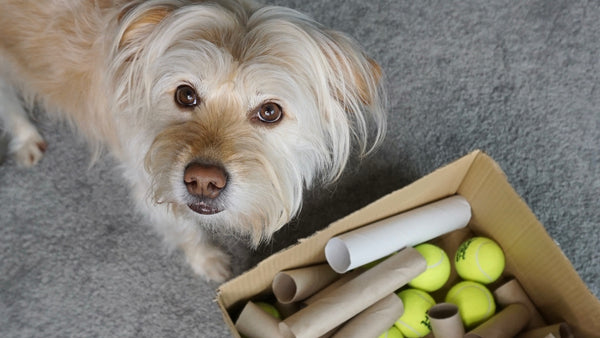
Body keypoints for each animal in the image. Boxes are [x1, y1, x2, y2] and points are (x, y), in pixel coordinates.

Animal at [0, 0, 384, 282]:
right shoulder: (149, 179)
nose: (203, 181)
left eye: (270, 112)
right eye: (185, 95)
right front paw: (210, 261)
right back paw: (26, 137)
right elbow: (185, 229)